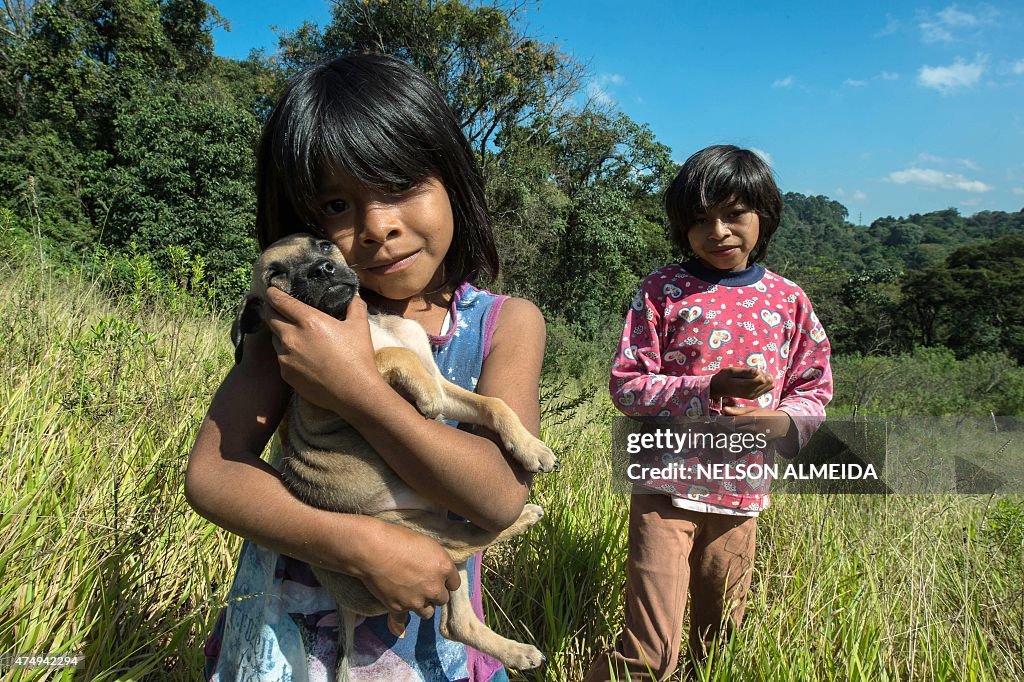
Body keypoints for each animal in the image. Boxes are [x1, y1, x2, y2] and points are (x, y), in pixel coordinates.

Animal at [233, 232, 557, 675]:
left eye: (323, 245)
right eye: (275, 275)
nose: (322, 270)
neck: (361, 323)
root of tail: (344, 604)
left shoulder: (442, 380)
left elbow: (493, 403)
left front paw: (530, 448)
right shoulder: (341, 381)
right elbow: (386, 358)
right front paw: (424, 396)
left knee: (456, 622)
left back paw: (517, 651)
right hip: (411, 534)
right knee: (461, 546)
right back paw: (523, 516)